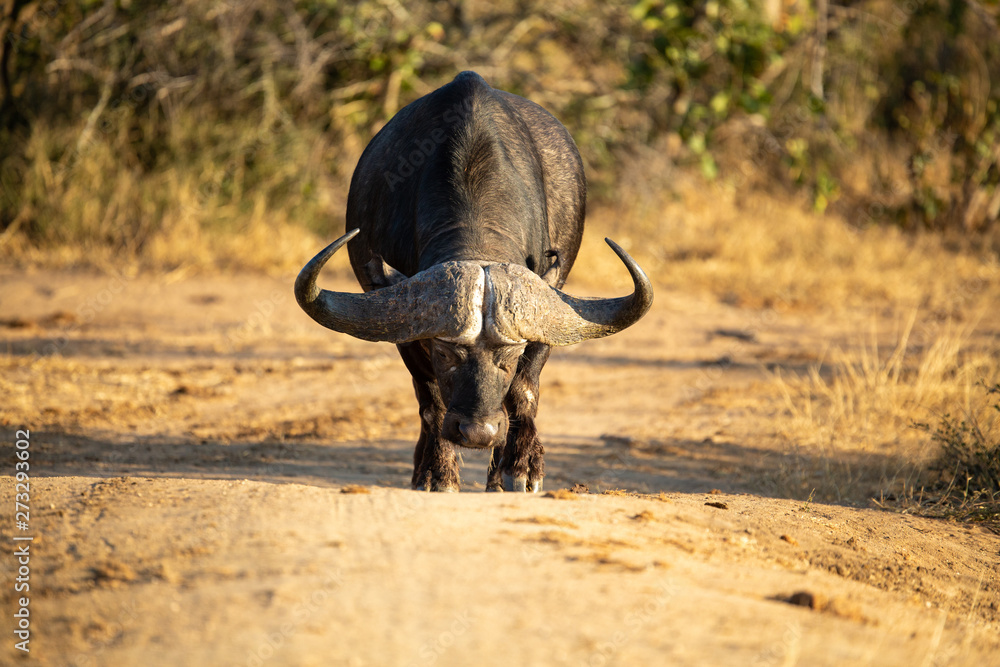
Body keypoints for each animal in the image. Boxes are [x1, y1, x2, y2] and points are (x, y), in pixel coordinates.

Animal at [295, 71, 652, 492]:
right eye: (446, 353)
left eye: (510, 356)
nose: (478, 433)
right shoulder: (403, 327)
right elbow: (431, 402)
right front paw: (436, 473)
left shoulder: (550, 308)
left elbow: (524, 391)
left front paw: (520, 468)